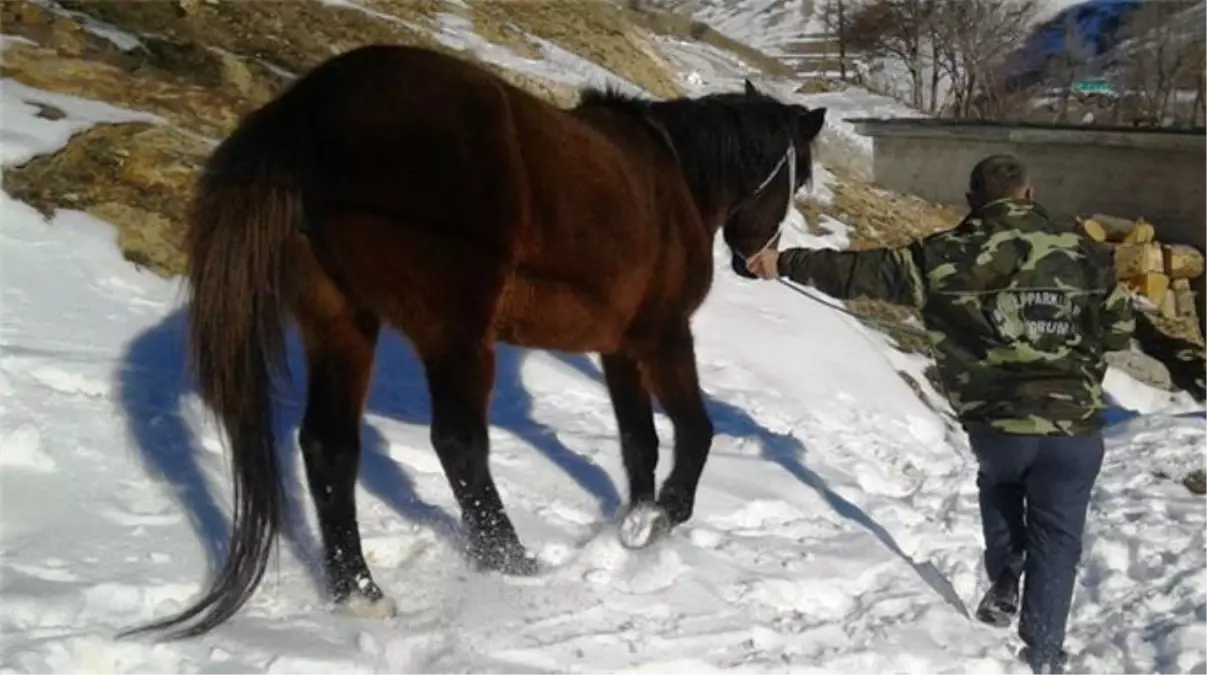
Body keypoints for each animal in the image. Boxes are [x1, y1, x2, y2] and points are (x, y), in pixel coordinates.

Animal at [117, 42, 825, 637]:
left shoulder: (619, 349)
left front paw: (632, 522)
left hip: (340, 323)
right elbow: (695, 431)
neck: (674, 178)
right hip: (454, 335)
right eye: (801, 180)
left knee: (329, 448)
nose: (756, 260)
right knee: (458, 445)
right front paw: (662, 522)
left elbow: (640, 444)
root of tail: (313, 108)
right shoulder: (663, 337)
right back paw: (509, 561)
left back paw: (360, 592)